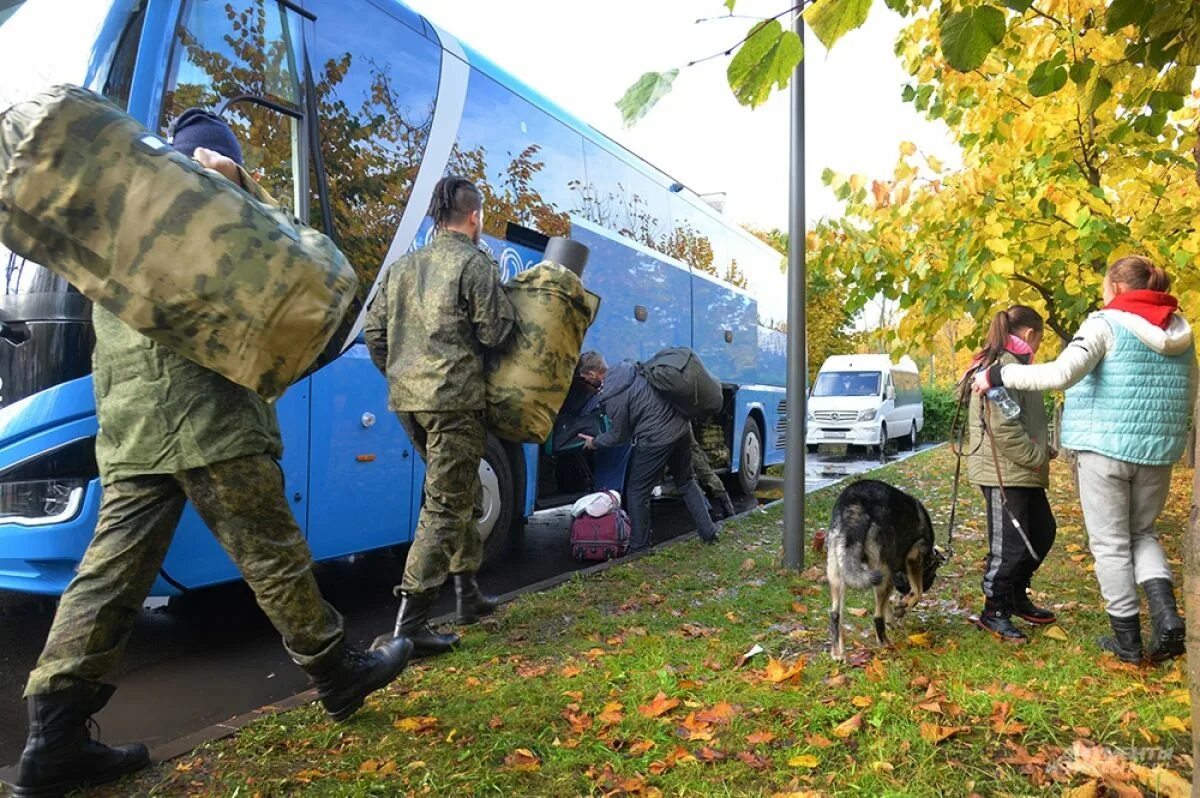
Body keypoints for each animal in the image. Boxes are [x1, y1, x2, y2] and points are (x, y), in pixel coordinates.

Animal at [825, 480, 936, 657]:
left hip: (837, 570)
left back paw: (838, 654)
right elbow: (917, 592)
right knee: (877, 617)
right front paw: (905, 605)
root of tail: (854, 508)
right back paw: (886, 644)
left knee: (836, 615)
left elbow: (887, 606)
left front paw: (895, 616)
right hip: (884, 573)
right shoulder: (915, 555)